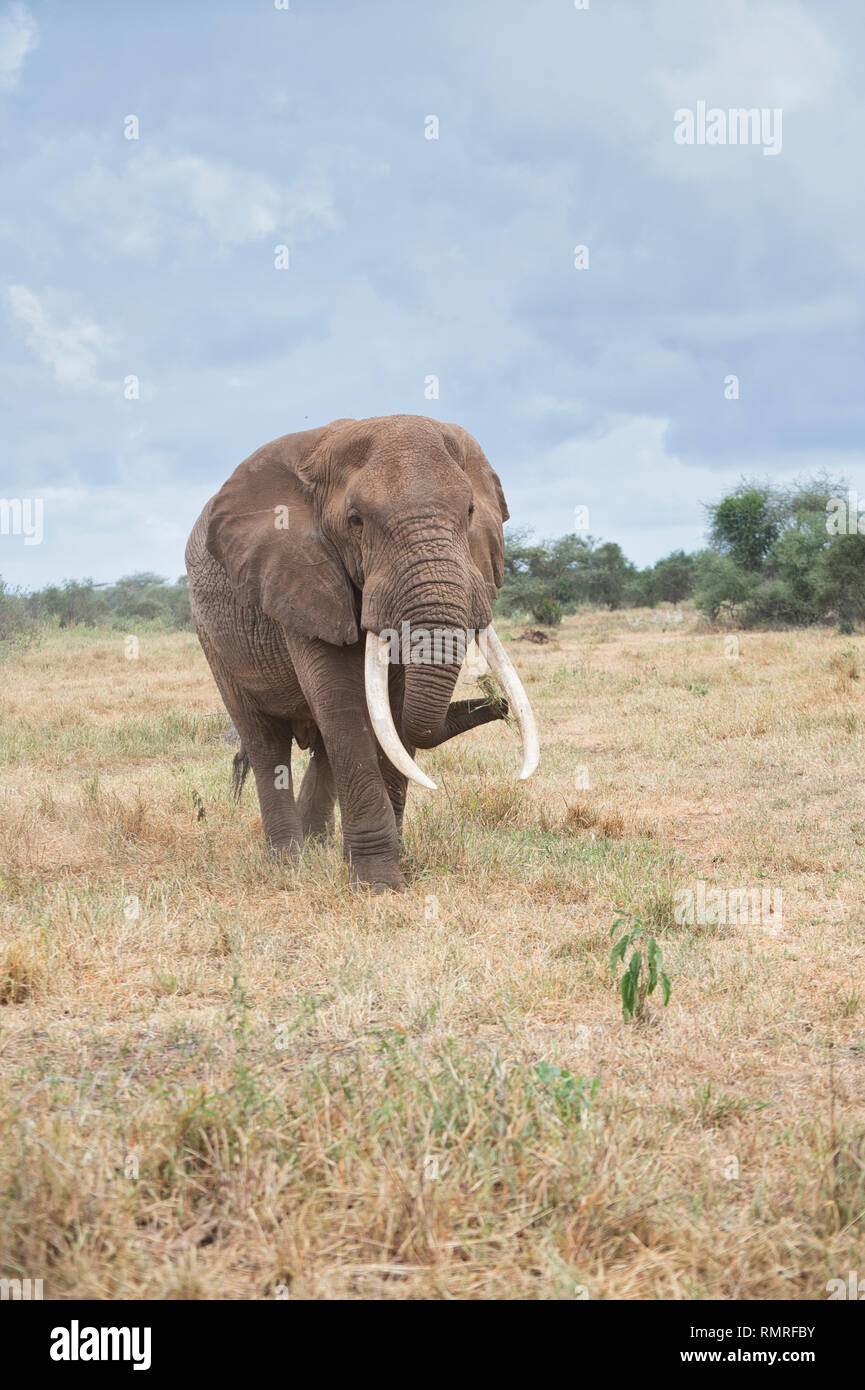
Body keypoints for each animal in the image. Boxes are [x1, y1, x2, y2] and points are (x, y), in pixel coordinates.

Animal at [187, 411, 542, 889]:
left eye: (469, 512)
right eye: (356, 521)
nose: (500, 703)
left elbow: (393, 710)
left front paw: (390, 867)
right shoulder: (302, 579)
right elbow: (344, 703)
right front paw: (378, 885)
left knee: (321, 744)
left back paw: (320, 848)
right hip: (213, 638)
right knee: (265, 741)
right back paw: (289, 864)